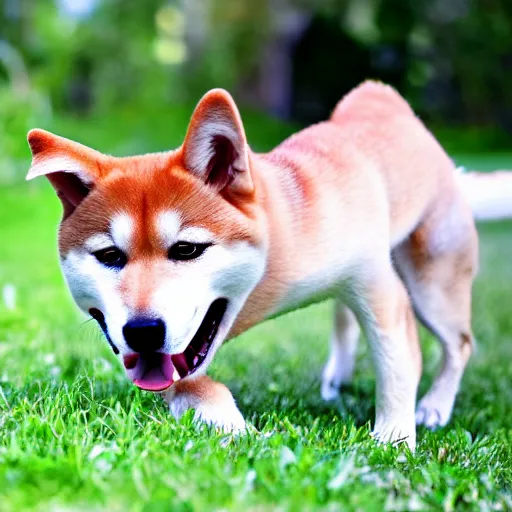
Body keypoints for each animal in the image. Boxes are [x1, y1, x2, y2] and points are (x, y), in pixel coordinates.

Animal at [27, 80, 512, 448]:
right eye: (110, 256)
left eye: (187, 249)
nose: (143, 331)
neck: (276, 261)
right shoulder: (165, 360)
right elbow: (194, 384)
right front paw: (236, 427)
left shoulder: (380, 289)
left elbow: (396, 367)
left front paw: (393, 442)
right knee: (344, 319)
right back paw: (337, 378)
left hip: (432, 284)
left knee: (459, 344)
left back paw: (435, 406)